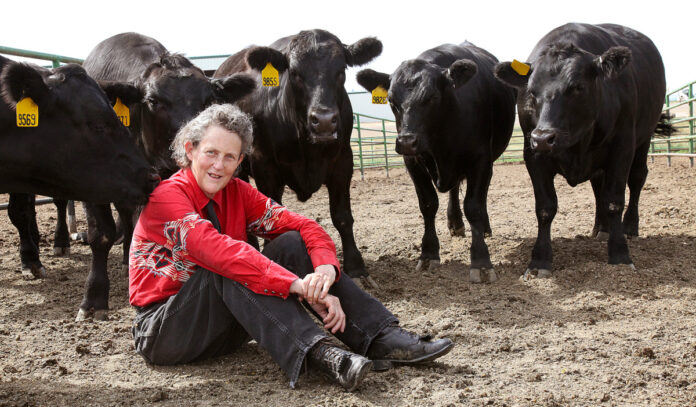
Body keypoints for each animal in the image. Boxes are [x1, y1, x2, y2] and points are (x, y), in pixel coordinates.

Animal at [0, 56, 158, 280]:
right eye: (98, 124)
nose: (152, 176)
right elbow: (19, 212)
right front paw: (30, 259)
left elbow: (20, 210)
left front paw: (31, 259)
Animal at [72, 33, 256, 322]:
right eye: (153, 101)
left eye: (209, 100)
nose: (189, 142)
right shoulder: (90, 186)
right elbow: (101, 234)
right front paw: (93, 299)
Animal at [216, 28, 384, 286]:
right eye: (295, 73)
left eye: (341, 70)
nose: (323, 120)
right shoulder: (265, 166)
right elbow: (270, 217)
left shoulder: (343, 162)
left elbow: (342, 216)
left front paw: (356, 267)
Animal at [358, 41, 516, 284]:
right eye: (392, 101)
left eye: (432, 97)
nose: (406, 141)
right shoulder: (413, 162)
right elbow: (428, 204)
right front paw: (428, 253)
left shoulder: (481, 160)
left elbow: (474, 206)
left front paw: (481, 261)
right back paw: (456, 224)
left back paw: (484, 227)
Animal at [494, 21, 664, 278]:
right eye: (531, 91)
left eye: (577, 87)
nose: (543, 138)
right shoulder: (533, 154)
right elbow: (545, 207)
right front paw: (539, 261)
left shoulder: (622, 146)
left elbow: (614, 200)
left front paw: (620, 255)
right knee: (598, 185)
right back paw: (601, 228)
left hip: (644, 137)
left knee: (636, 179)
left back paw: (630, 227)